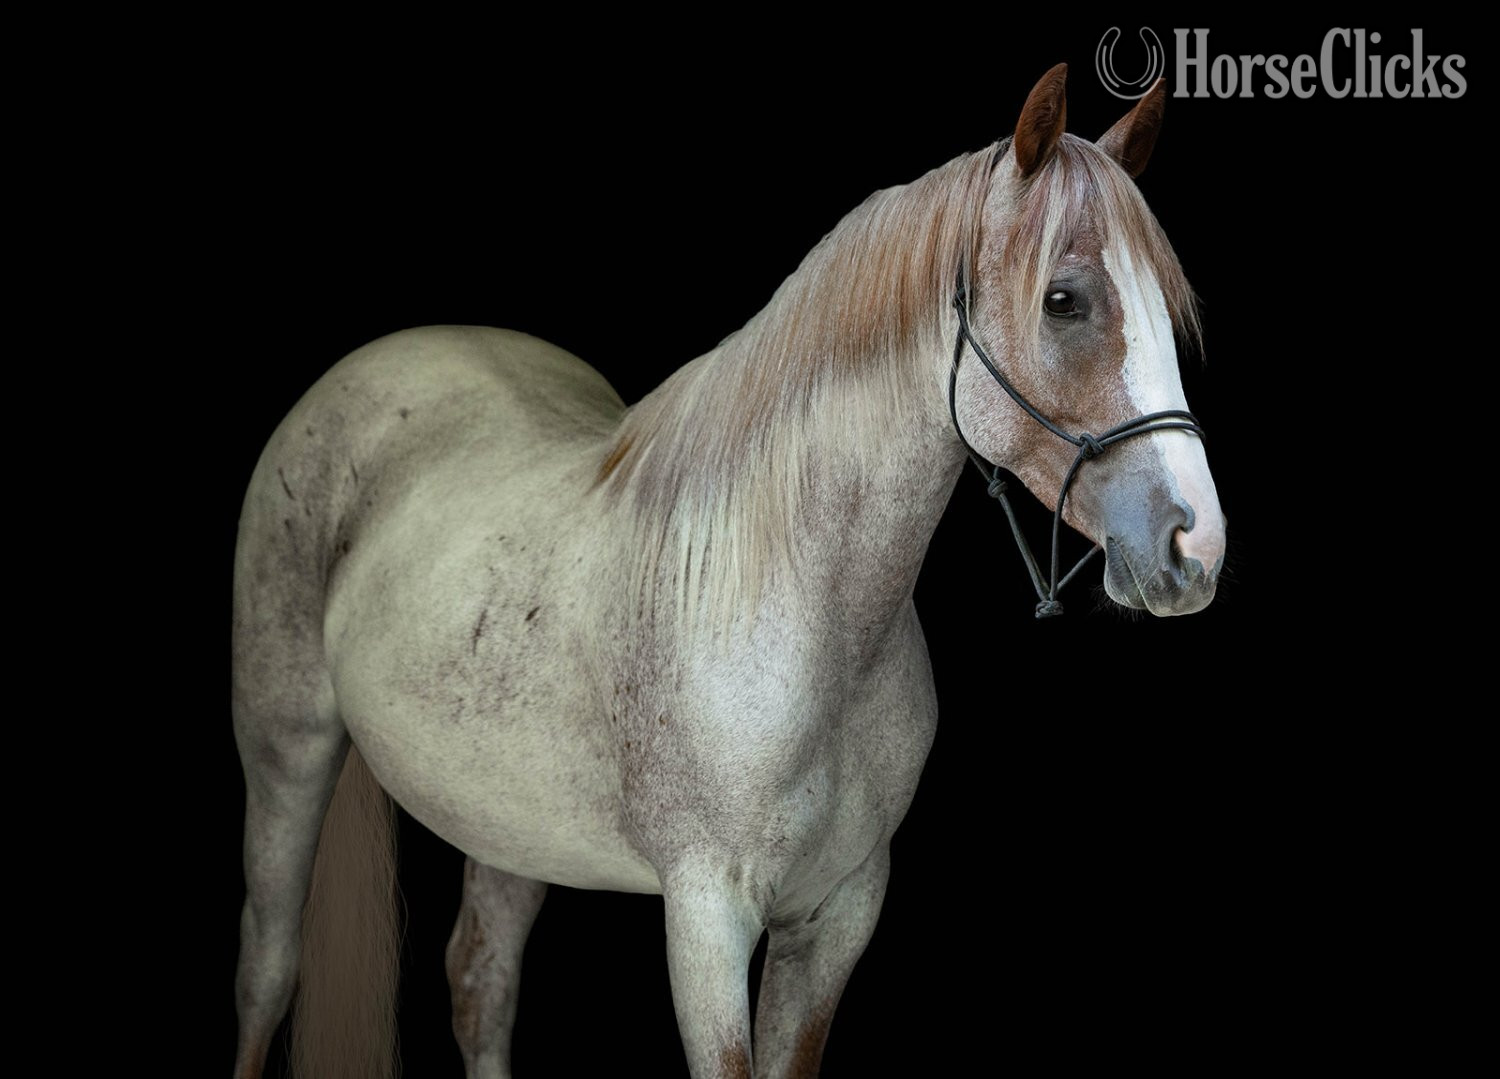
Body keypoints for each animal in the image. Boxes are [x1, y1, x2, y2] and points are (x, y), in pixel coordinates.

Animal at [231, 63, 1225, 1079]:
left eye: (1165, 304)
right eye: (1063, 299)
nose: (1196, 545)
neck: (800, 618)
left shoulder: (839, 915)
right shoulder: (707, 918)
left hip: (507, 819)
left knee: (480, 979)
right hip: (286, 753)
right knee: (268, 969)